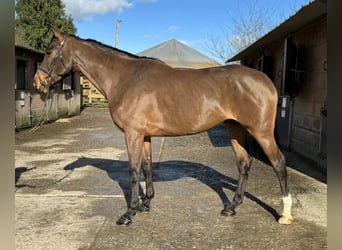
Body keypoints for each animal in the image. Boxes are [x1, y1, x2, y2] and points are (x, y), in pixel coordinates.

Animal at [32, 28, 294, 226]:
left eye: (48, 52)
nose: (38, 82)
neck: (125, 77)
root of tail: (266, 82)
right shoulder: (145, 135)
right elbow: (147, 167)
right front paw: (146, 204)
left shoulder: (133, 133)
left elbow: (133, 170)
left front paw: (129, 213)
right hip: (235, 129)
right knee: (243, 162)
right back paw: (232, 207)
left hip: (261, 132)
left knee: (279, 163)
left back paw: (285, 214)